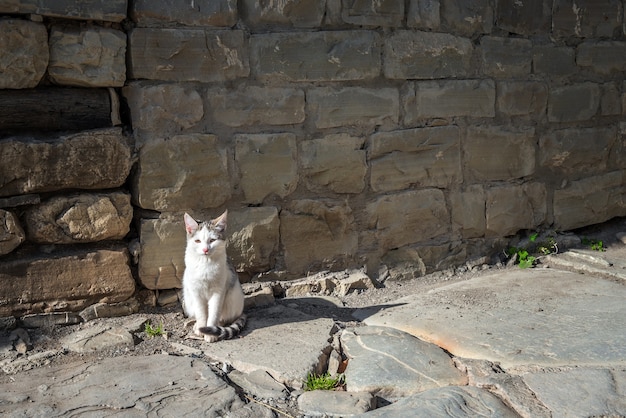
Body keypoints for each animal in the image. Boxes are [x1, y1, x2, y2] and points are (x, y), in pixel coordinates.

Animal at [180, 211, 244, 342]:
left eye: (212, 240)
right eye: (197, 241)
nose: (205, 249)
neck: (205, 263)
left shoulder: (218, 293)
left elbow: (214, 314)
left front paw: (210, 333)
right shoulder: (196, 293)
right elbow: (201, 313)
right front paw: (201, 328)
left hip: (233, 297)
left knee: (224, 318)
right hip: (188, 299)